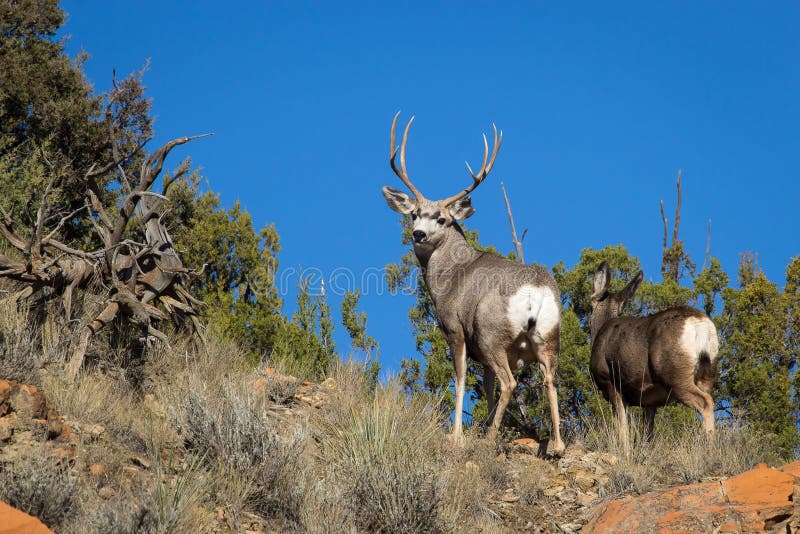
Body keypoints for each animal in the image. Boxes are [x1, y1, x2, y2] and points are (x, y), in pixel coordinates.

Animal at [381, 113, 564, 454]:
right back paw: (556, 446)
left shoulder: (455, 328)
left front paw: (457, 435)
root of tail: (536, 291)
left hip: (491, 332)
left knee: (510, 381)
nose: (418, 234)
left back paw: (492, 438)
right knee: (548, 380)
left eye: (442, 219)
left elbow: (460, 379)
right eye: (414, 214)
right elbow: (487, 387)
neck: (452, 273)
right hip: (547, 337)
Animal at [588, 261, 719, 451]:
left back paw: (709, 449)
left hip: (675, 372)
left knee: (705, 402)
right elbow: (647, 433)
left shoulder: (612, 383)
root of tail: (701, 325)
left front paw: (624, 451)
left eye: (590, 306)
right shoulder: (650, 400)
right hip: (707, 371)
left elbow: (623, 425)